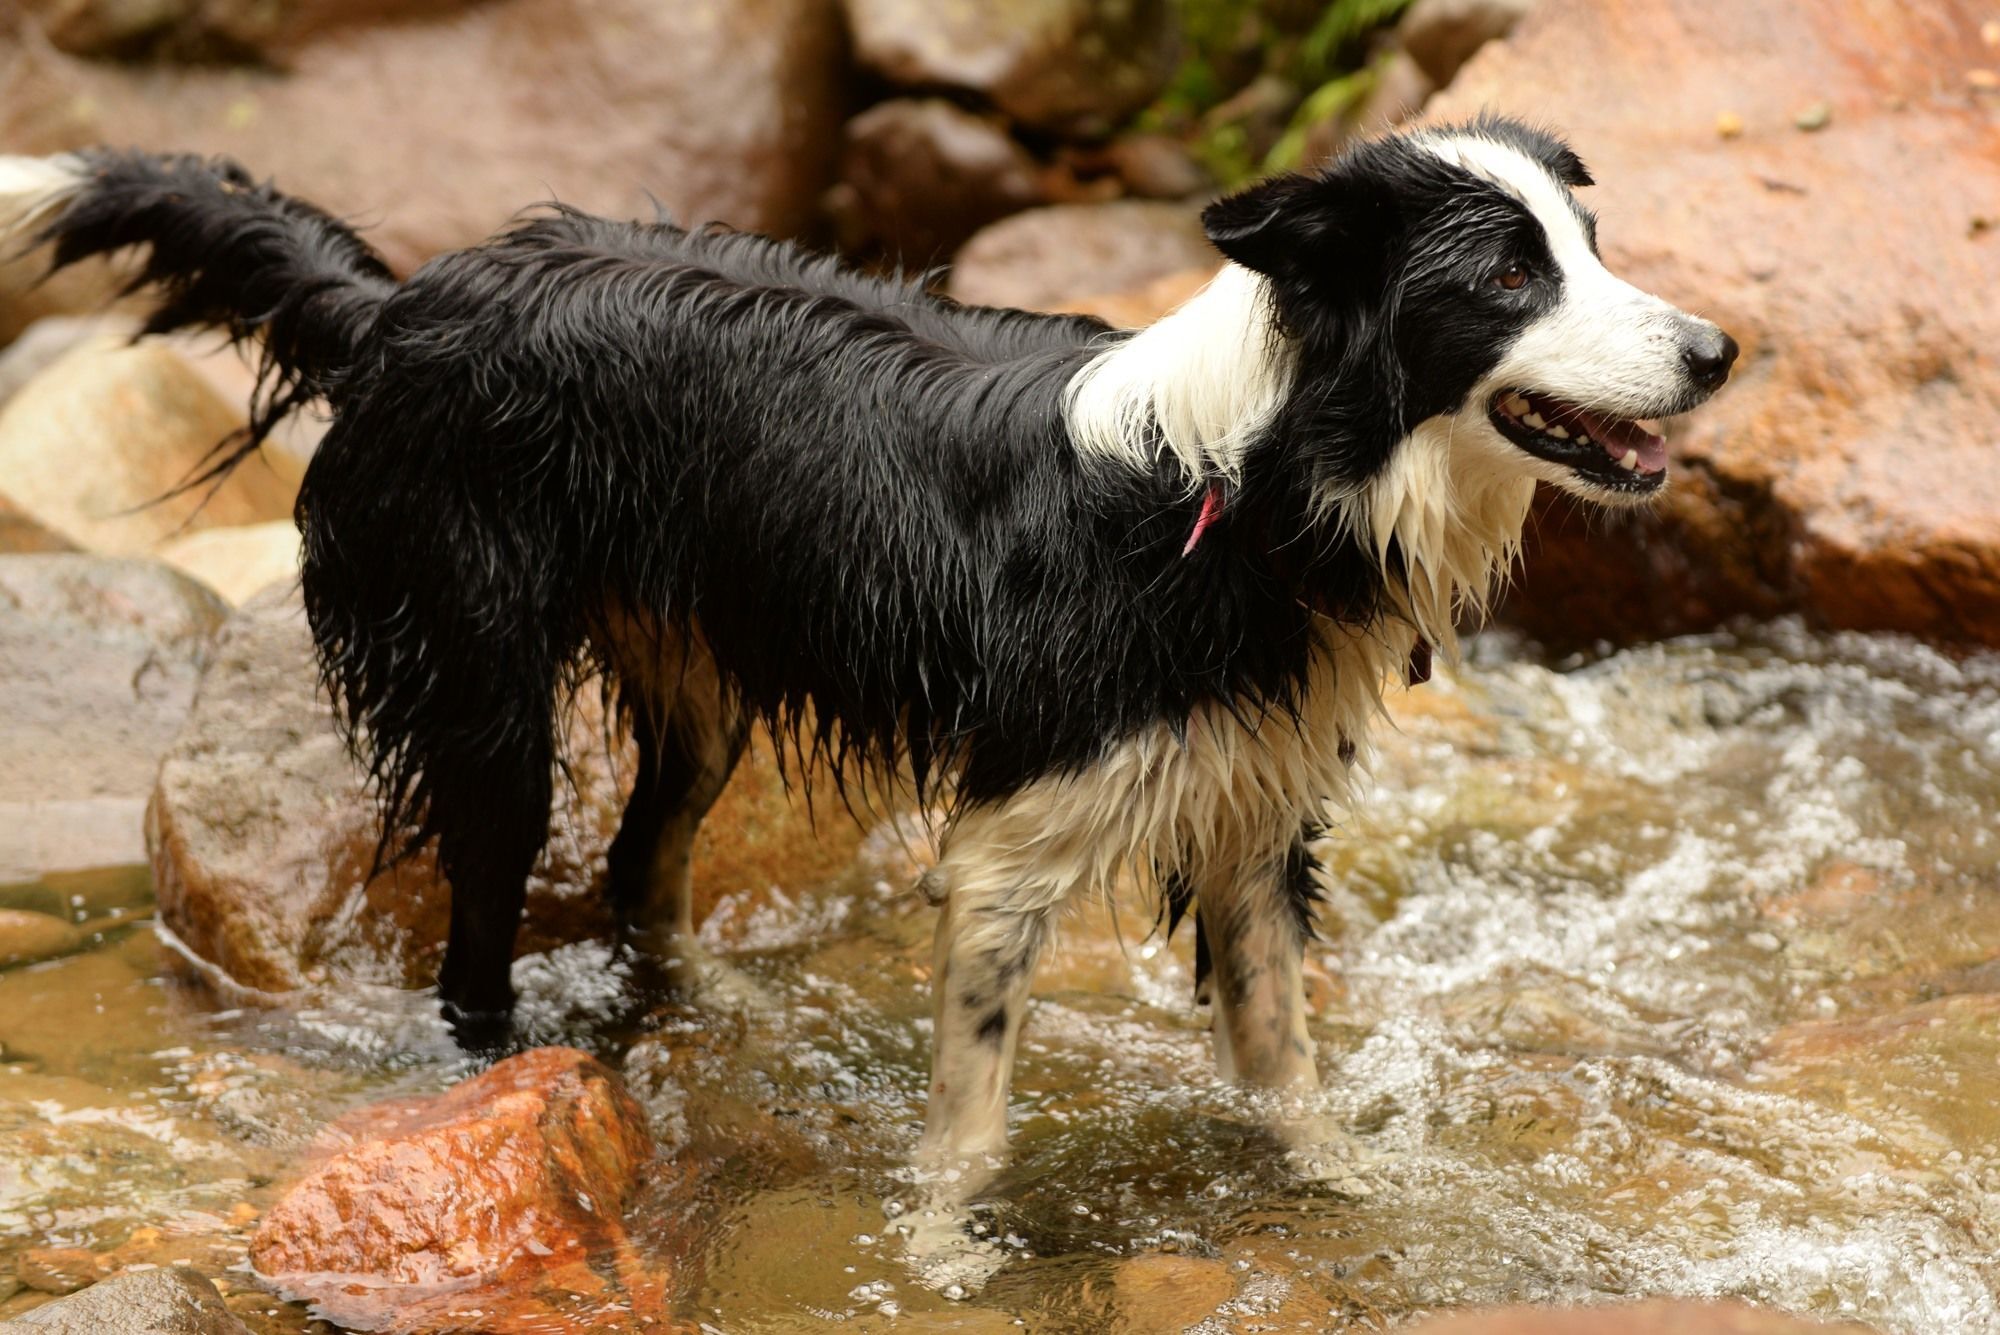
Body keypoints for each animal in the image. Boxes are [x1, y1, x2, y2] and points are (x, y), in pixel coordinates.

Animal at [0, 114, 1728, 1175]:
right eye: (1506, 274)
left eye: (1588, 241)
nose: (1719, 350)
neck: (1258, 476)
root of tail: (406, 303)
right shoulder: (1018, 833)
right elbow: (970, 1114)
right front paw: (941, 1253)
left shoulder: (1247, 809)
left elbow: (1280, 1058)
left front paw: (1345, 1187)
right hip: (483, 682)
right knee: (487, 913)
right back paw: (488, 1062)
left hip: (696, 684)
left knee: (639, 866)